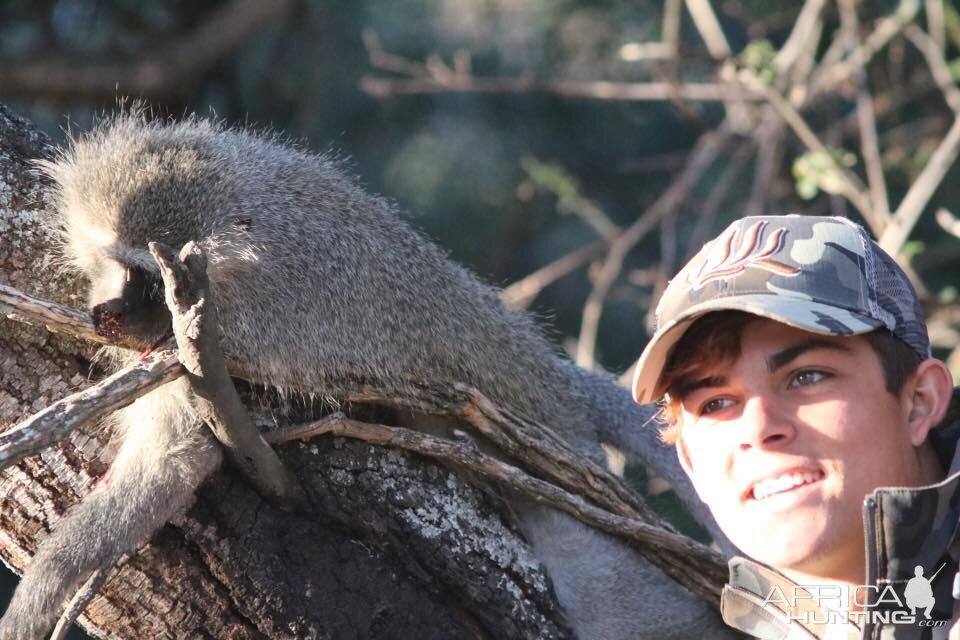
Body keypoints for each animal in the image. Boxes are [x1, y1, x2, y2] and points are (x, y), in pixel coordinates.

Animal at [1, 116, 736, 640]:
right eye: (110, 262)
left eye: (150, 280)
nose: (109, 315)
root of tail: (550, 381)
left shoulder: (216, 338)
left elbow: (174, 457)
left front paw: (41, 588)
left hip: (554, 465)